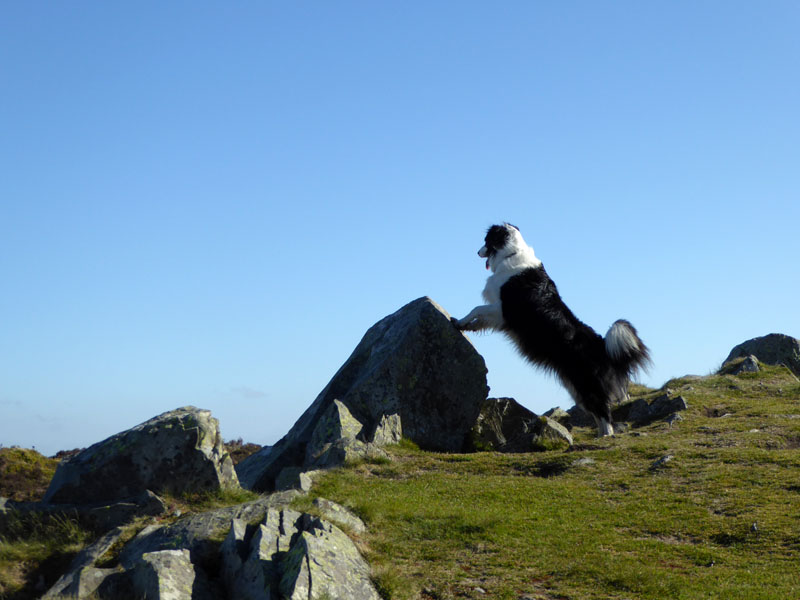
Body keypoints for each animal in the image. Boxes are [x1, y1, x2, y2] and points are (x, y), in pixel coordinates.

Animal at [456, 224, 648, 436]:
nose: (477, 252)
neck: (511, 252)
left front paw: (459, 321)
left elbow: (476, 309)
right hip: (575, 387)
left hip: (586, 383)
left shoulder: (503, 309)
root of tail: (601, 344)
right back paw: (600, 435)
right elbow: (480, 319)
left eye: (486, 241)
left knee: (603, 410)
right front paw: (468, 326)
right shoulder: (499, 316)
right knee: (597, 412)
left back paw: (606, 435)